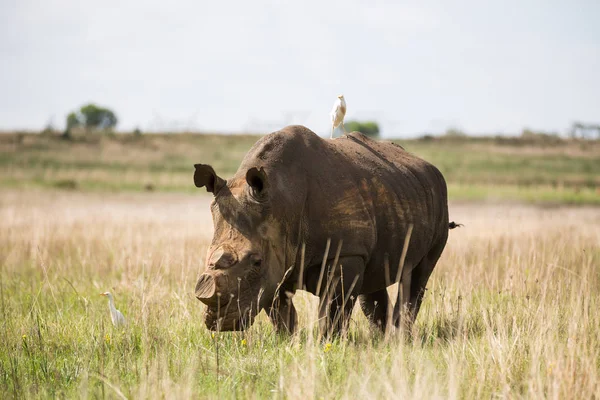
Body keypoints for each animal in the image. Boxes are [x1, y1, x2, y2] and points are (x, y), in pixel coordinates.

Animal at [193, 124, 454, 334]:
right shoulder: (277, 255)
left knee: (417, 274)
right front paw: (287, 340)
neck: (281, 198)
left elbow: (333, 307)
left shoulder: (344, 252)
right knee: (375, 274)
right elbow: (279, 308)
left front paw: (327, 343)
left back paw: (400, 339)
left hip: (439, 200)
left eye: (256, 262)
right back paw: (382, 340)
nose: (220, 324)